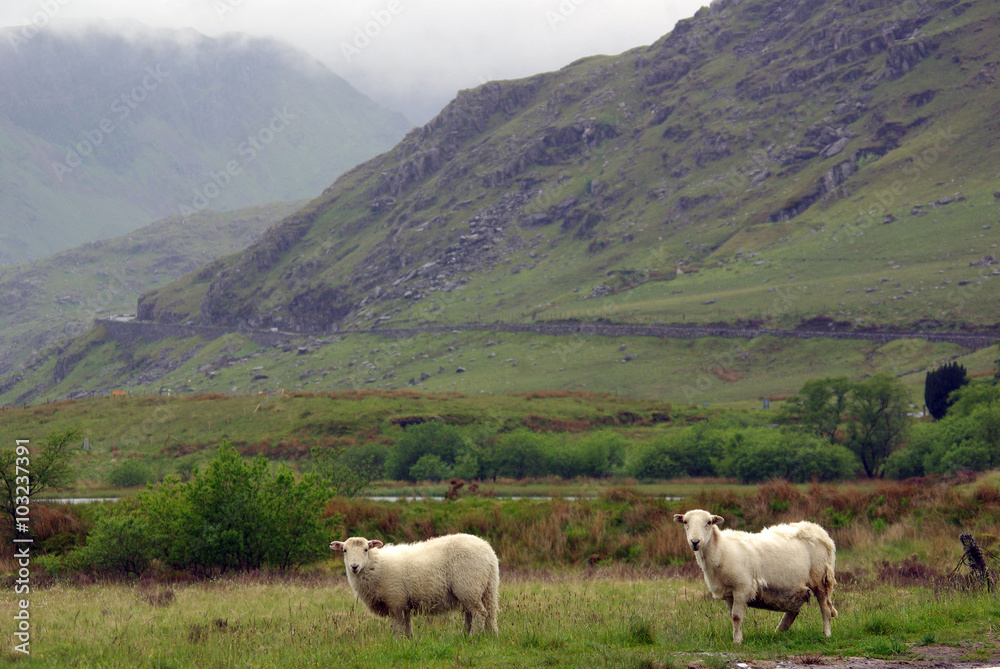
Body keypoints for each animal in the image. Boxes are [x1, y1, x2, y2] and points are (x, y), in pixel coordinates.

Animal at [330, 532, 498, 636]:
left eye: (366, 549)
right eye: (344, 550)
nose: (354, 566)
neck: (377, 565)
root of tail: (488, 551)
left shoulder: (396, 601)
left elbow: (398, 627)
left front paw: (397, 644)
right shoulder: (404, 603)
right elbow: (407, 625)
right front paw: (409, 641)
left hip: (468, 586)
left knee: (479, 613)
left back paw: (473, 636)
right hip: (486, 587)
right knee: (484, 613)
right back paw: (482, 635)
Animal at [672, 508, 836, 644]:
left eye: (709, 522)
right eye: (685, 522)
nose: (695, 542)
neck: (720, 550)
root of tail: (820, 531)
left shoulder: (741, 587)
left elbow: (737, 616)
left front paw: (737, 641)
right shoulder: (729, 593)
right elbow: (733, 616)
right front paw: (737, 636)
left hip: (820, 579)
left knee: (825, 608)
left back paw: (826, 634)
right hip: (795, 588)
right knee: (793, 611)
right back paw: (778, 632)